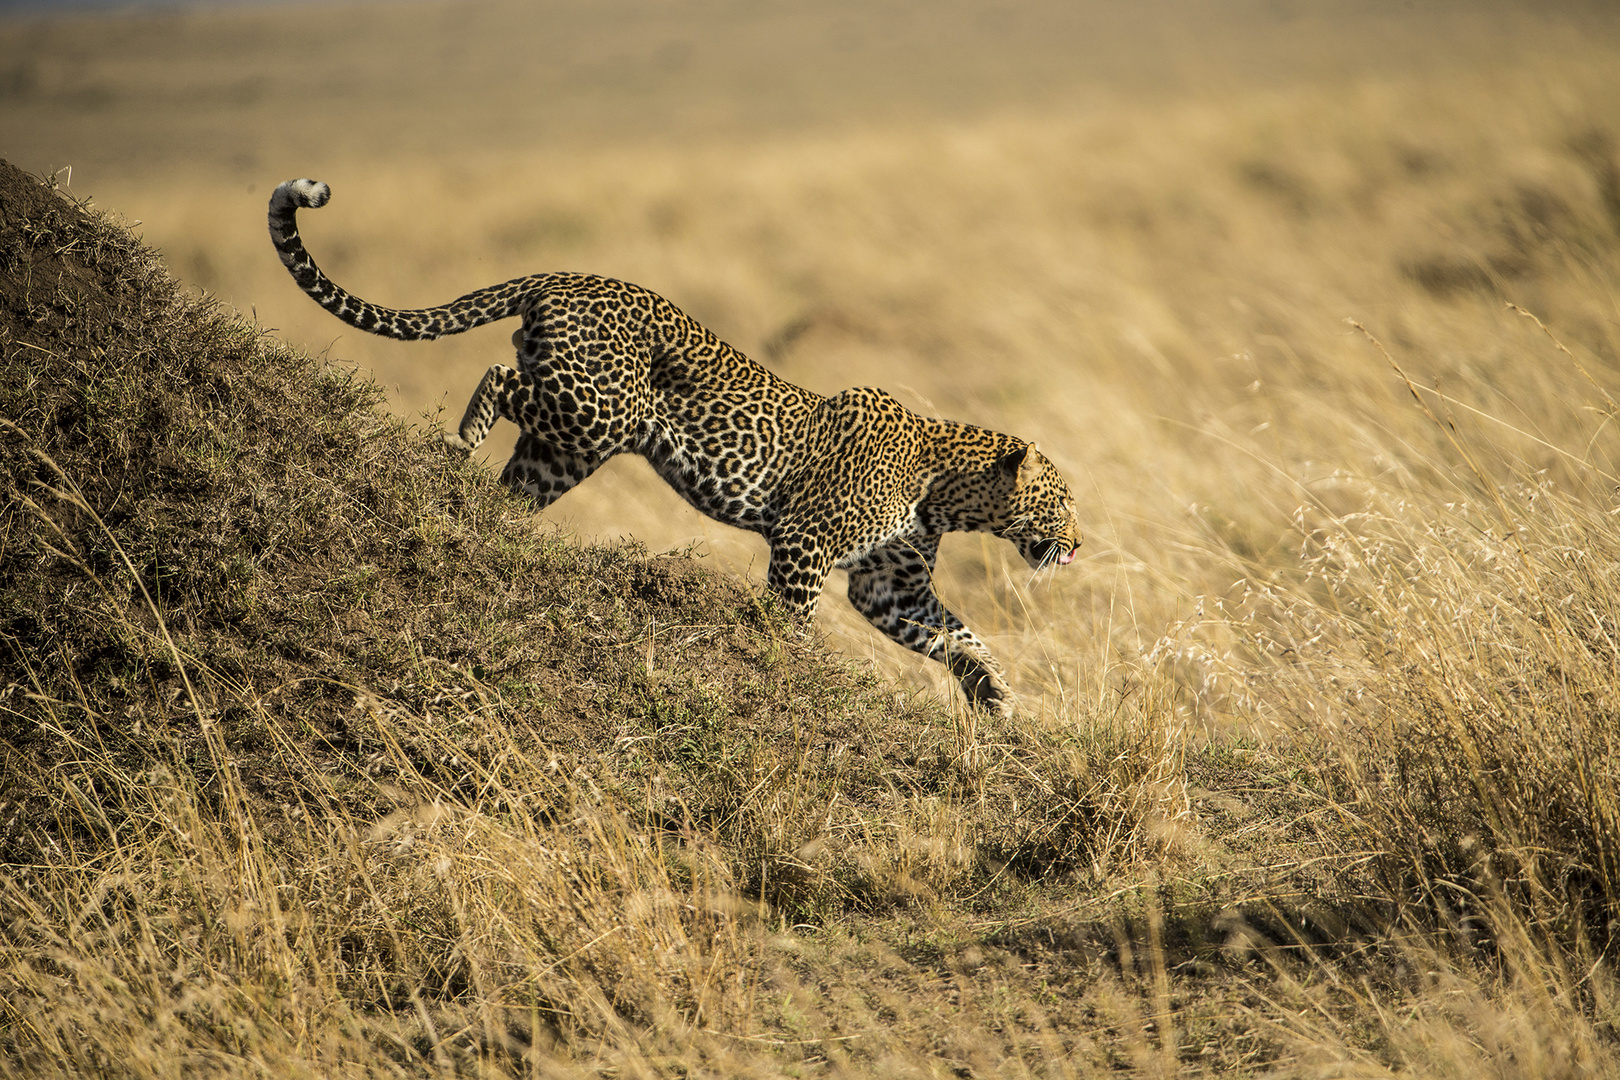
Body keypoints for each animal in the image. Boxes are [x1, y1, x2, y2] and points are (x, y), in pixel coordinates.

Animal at [265, 177, 1082, 718]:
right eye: (1064, 501)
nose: (1077, 544)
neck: (945, 491)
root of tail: (565, 274)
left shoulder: (889, 587)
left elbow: (961, 633)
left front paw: (992, 691)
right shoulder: (805, 543)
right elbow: (791, 620)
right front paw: (783, 674)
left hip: (566, 450)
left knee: (513, 482)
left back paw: (484, 520)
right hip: (595, 412)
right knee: (498, 378)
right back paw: (458, 448)